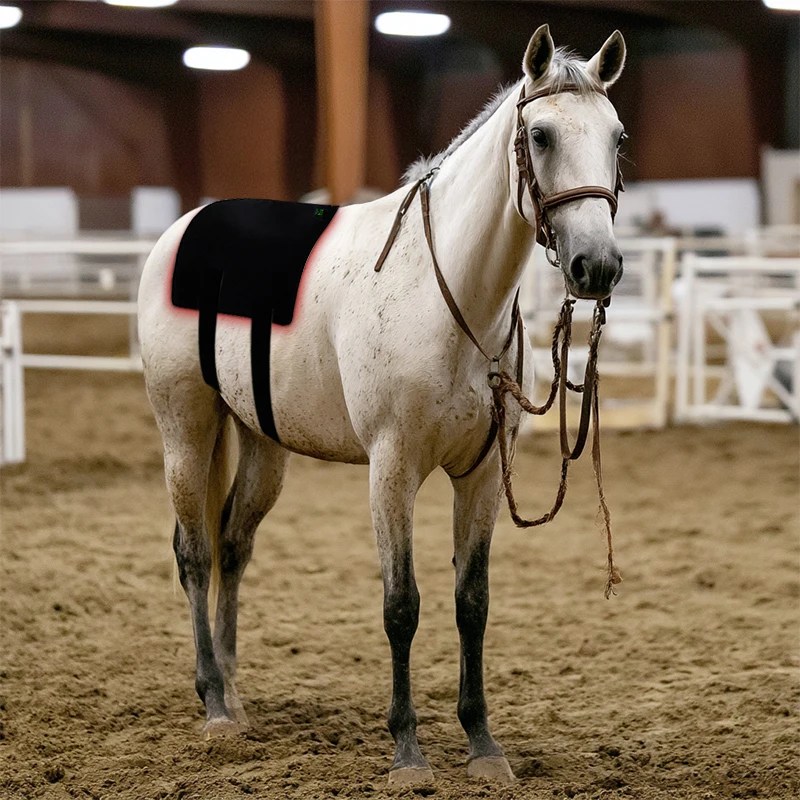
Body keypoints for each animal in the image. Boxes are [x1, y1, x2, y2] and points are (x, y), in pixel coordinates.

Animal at [137, 24, 627, 785]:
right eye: (541, 135)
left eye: (616, 137)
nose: (596, 267)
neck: (445, 289)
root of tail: (184, 228)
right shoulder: (391, 471)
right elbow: (403, 606)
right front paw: (407, 752)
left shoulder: (482, 478)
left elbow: (472, 603)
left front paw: (483, 744)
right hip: (185, 430)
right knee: (193, 553)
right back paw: (214, 705)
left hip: (262, 444)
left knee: (232, 546)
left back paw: (236, 697)